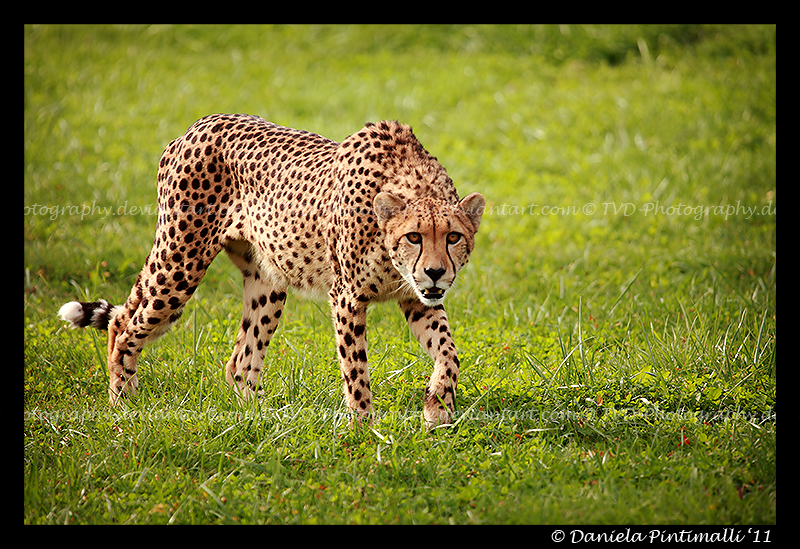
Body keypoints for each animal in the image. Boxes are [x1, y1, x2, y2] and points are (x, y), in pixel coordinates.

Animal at [59, 114, 484, 428]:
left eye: (454, 237)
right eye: (414, 236)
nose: (435, 272)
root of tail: (198, 125)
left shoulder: (418, 299)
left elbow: (449, 351)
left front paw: (437, 408)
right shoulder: (347, 297)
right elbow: (356, 368)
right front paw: (363, 426)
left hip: (267, 281)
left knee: (240, 360)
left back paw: (262, 416)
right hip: (180, 261)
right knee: (125, 324)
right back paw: (123, 401)